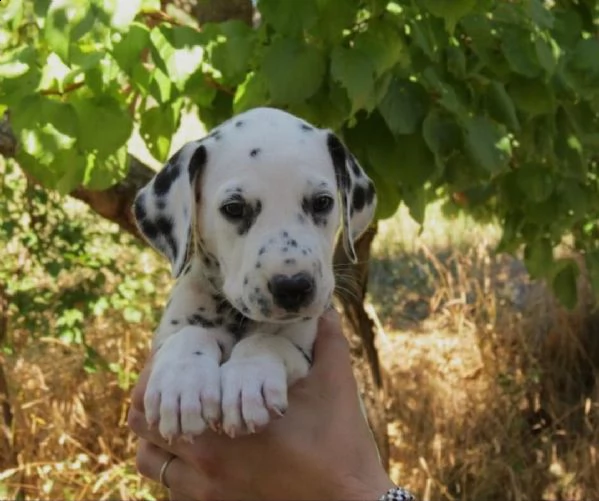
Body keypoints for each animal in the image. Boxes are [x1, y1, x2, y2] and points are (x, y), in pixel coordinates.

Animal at [134, 107, 378, 440]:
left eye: (323, 202)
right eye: (234, 208)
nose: (293, 287)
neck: (239, 319)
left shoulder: (307, 352)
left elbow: (268, 341)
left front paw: (247, 381)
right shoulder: (167, 334)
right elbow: (190, 334)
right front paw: (181, 384)